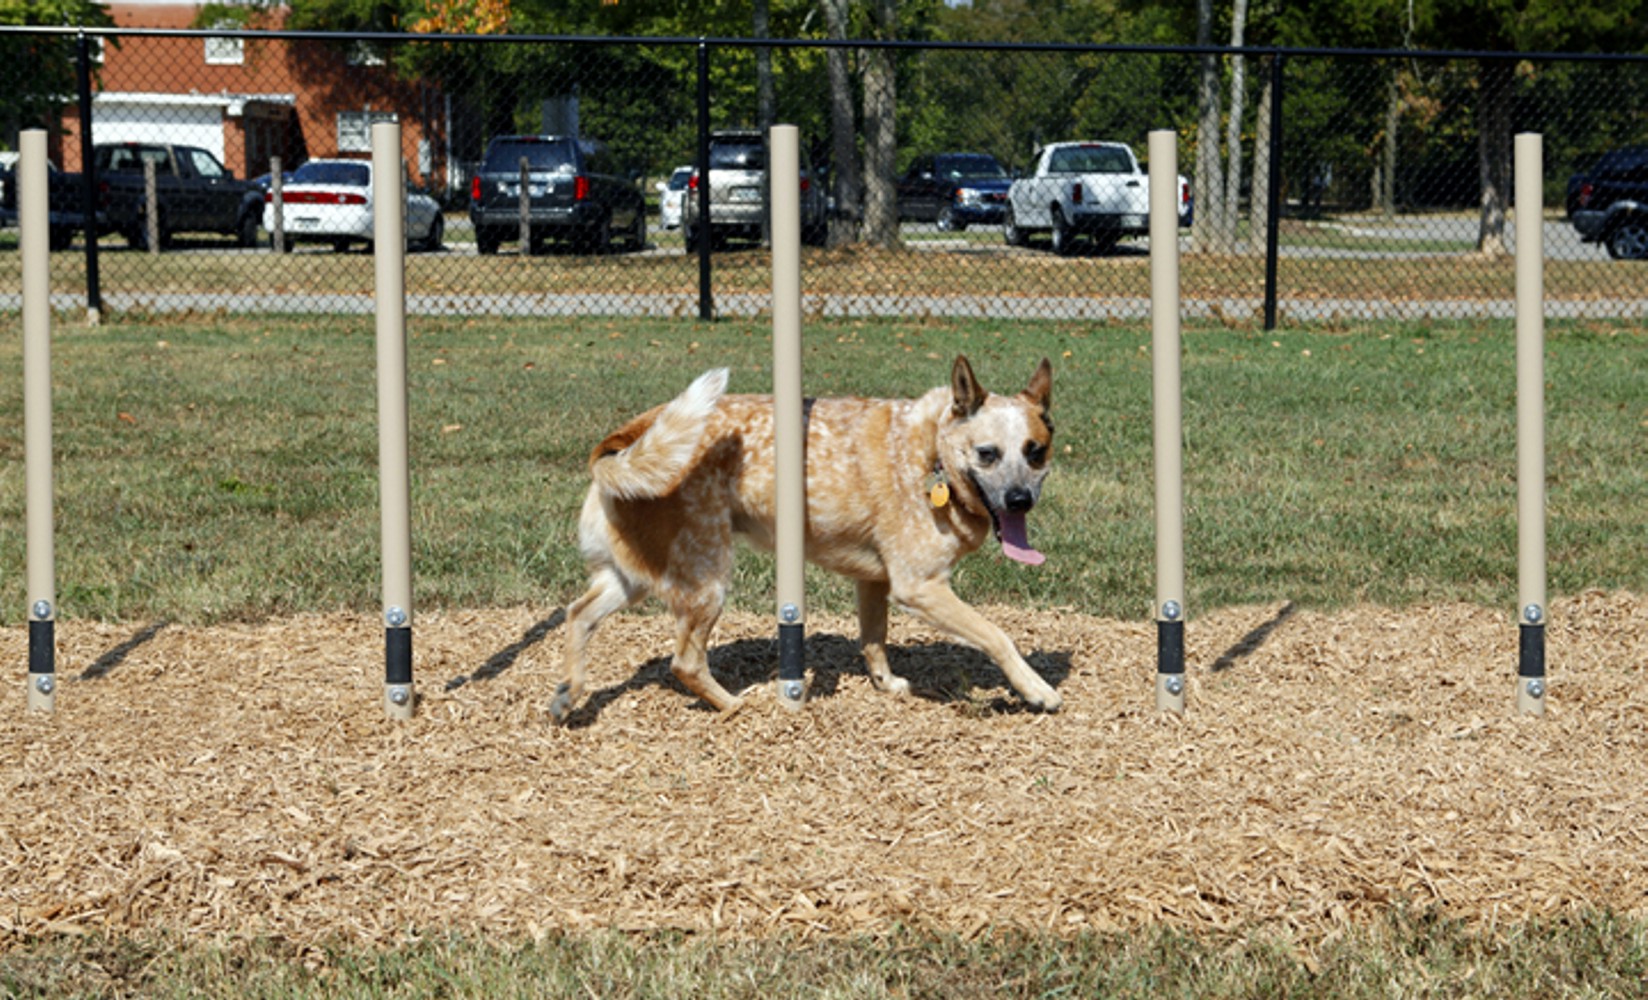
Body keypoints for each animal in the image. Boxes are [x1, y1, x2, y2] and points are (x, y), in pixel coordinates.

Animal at [550, 355, 1067, 724]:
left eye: (1035, 452)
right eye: (987, 454)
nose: (1020, 500)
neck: (929, 454)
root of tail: (628, 434)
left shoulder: (875, 581)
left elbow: (874, 639)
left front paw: (886, 685)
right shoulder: (921, 587)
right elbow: (997, 635)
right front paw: (1037, 690)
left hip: (633, 578)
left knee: (578, 615)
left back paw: (568, 694)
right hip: (706, 580)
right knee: (685, 663)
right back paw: (737, 706)